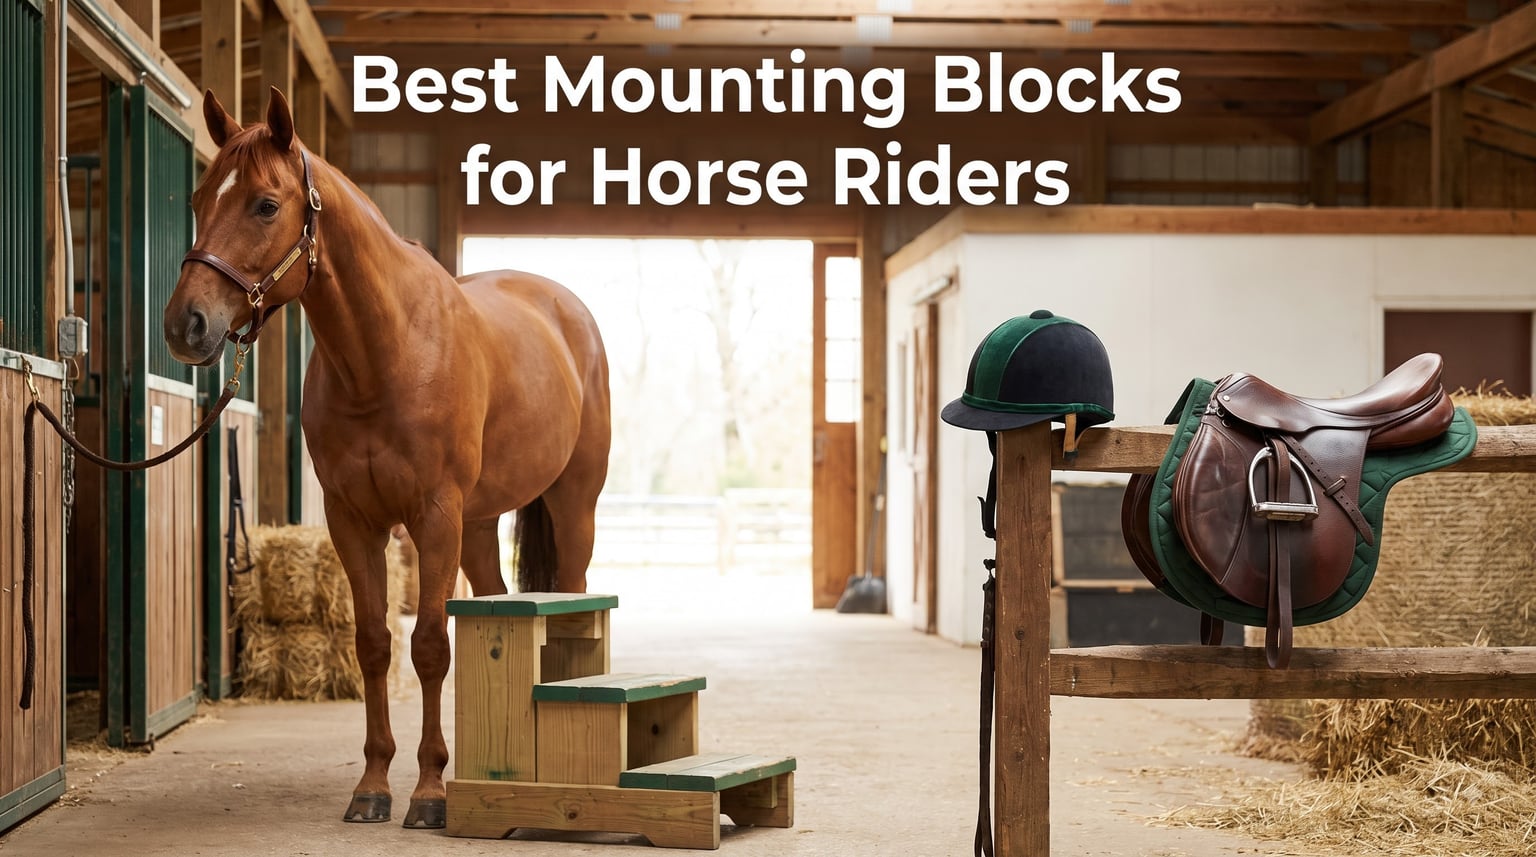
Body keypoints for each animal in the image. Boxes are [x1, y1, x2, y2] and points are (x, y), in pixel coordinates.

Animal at [162, 87, 611, 829]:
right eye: (198, 198)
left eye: (265, 204)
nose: (185, 325)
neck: (386, 355)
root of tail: (566, 309)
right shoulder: (355, 521)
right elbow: (375, 644)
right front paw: (374, 784)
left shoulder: (432, 518)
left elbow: (428, 644)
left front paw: (429, 793)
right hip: (478, 526)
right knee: (493, 606)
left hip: (572, 504)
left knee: (572, 602)